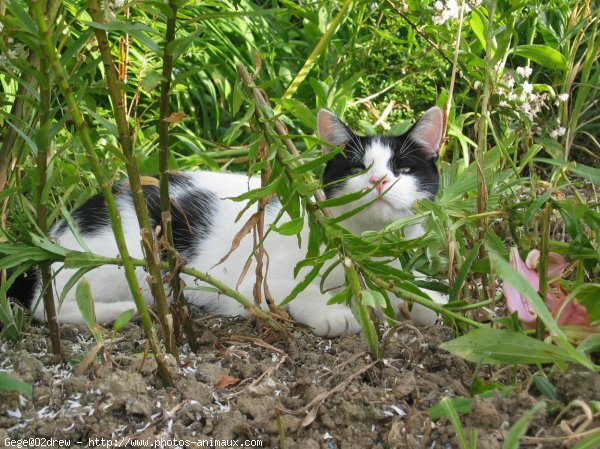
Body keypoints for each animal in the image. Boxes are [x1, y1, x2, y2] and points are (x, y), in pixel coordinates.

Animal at [8, 106, 446, 336]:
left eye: (404, 168)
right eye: (357, 168)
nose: (377, 180)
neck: (361, 244)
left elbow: (410, 289)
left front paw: (434, 302)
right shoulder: (262, 274)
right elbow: (299, 292)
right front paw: (333, 313)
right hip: (122, 260)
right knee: (46, 306)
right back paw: (126, 309)